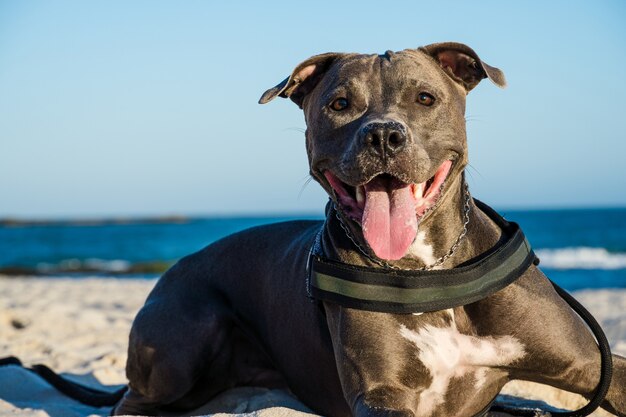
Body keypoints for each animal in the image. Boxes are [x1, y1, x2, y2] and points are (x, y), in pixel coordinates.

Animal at [112, 42, 624, 416]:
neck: (429, 270)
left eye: (424, 98)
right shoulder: (382, 392)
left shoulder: (590, 364)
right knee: (130, 401)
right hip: (183, 344)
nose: (382, 135)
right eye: (340, 104)